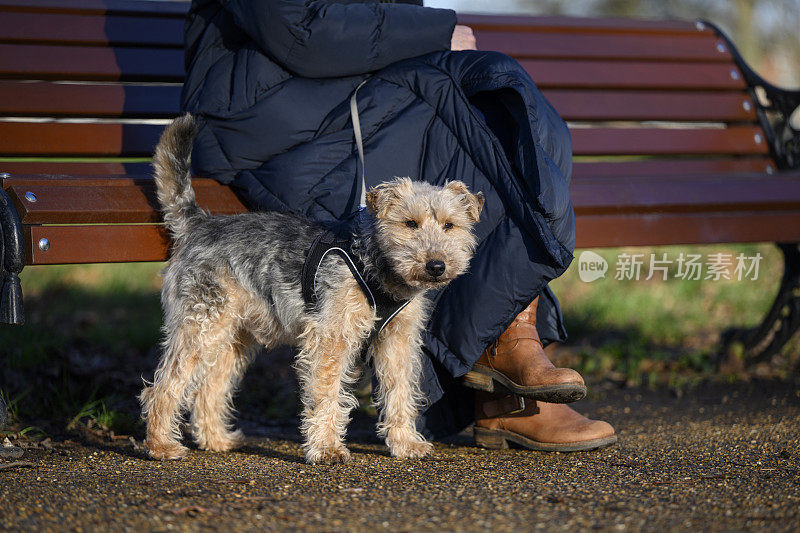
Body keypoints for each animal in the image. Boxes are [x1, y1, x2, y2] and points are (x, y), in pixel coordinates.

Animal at [140, 113, 484, 462]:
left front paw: (405, 443)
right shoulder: (331, 336)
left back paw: (217, 439)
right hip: (201, 326)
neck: (374, 262)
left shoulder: (397, 340)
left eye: (449, 225)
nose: (436, 266)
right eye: (410, 223)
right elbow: (327, 394)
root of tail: (198, 223)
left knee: (208, 388)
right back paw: (162, 445)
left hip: (233, 337)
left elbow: (400, 392)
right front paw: (328, 448)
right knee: (162, 388)